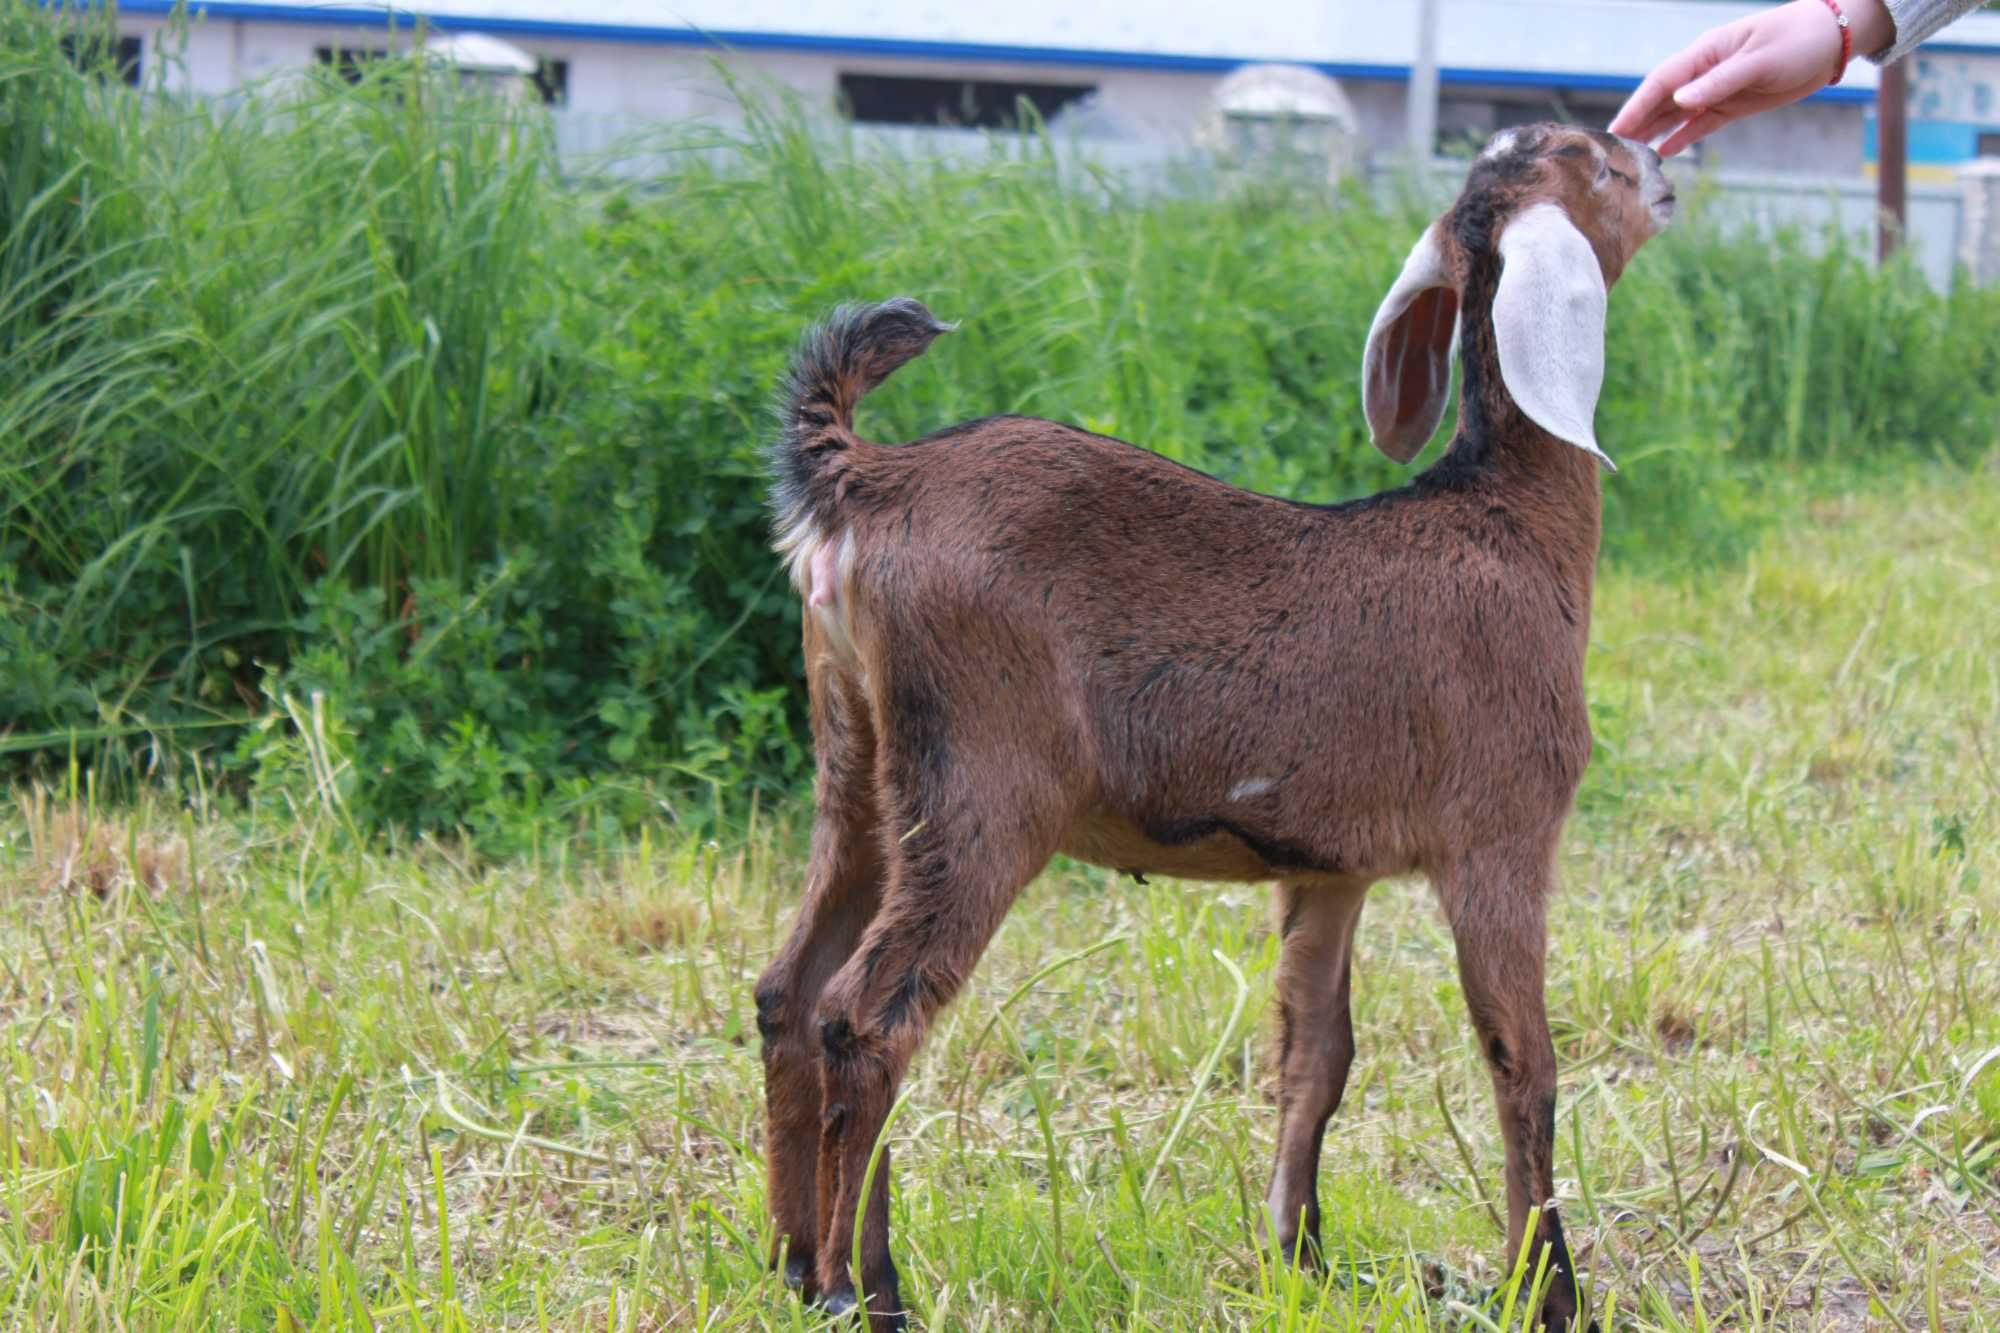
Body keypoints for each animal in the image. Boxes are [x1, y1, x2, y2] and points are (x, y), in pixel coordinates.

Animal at [752, 122, 1672, 1320]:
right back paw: (863, 1289)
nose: (1664, 165)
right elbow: (1523, 1058)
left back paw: (788, 1258)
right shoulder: (1502, 832)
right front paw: (1552, 1294)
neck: (1503, 522)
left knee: (790, 988)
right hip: (978, 783)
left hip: (858, 758)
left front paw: (1300, 1254)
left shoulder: (1329, 862)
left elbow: (1315, 1052)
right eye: (1596, 162)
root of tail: (863, 481)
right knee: (864, 1015)